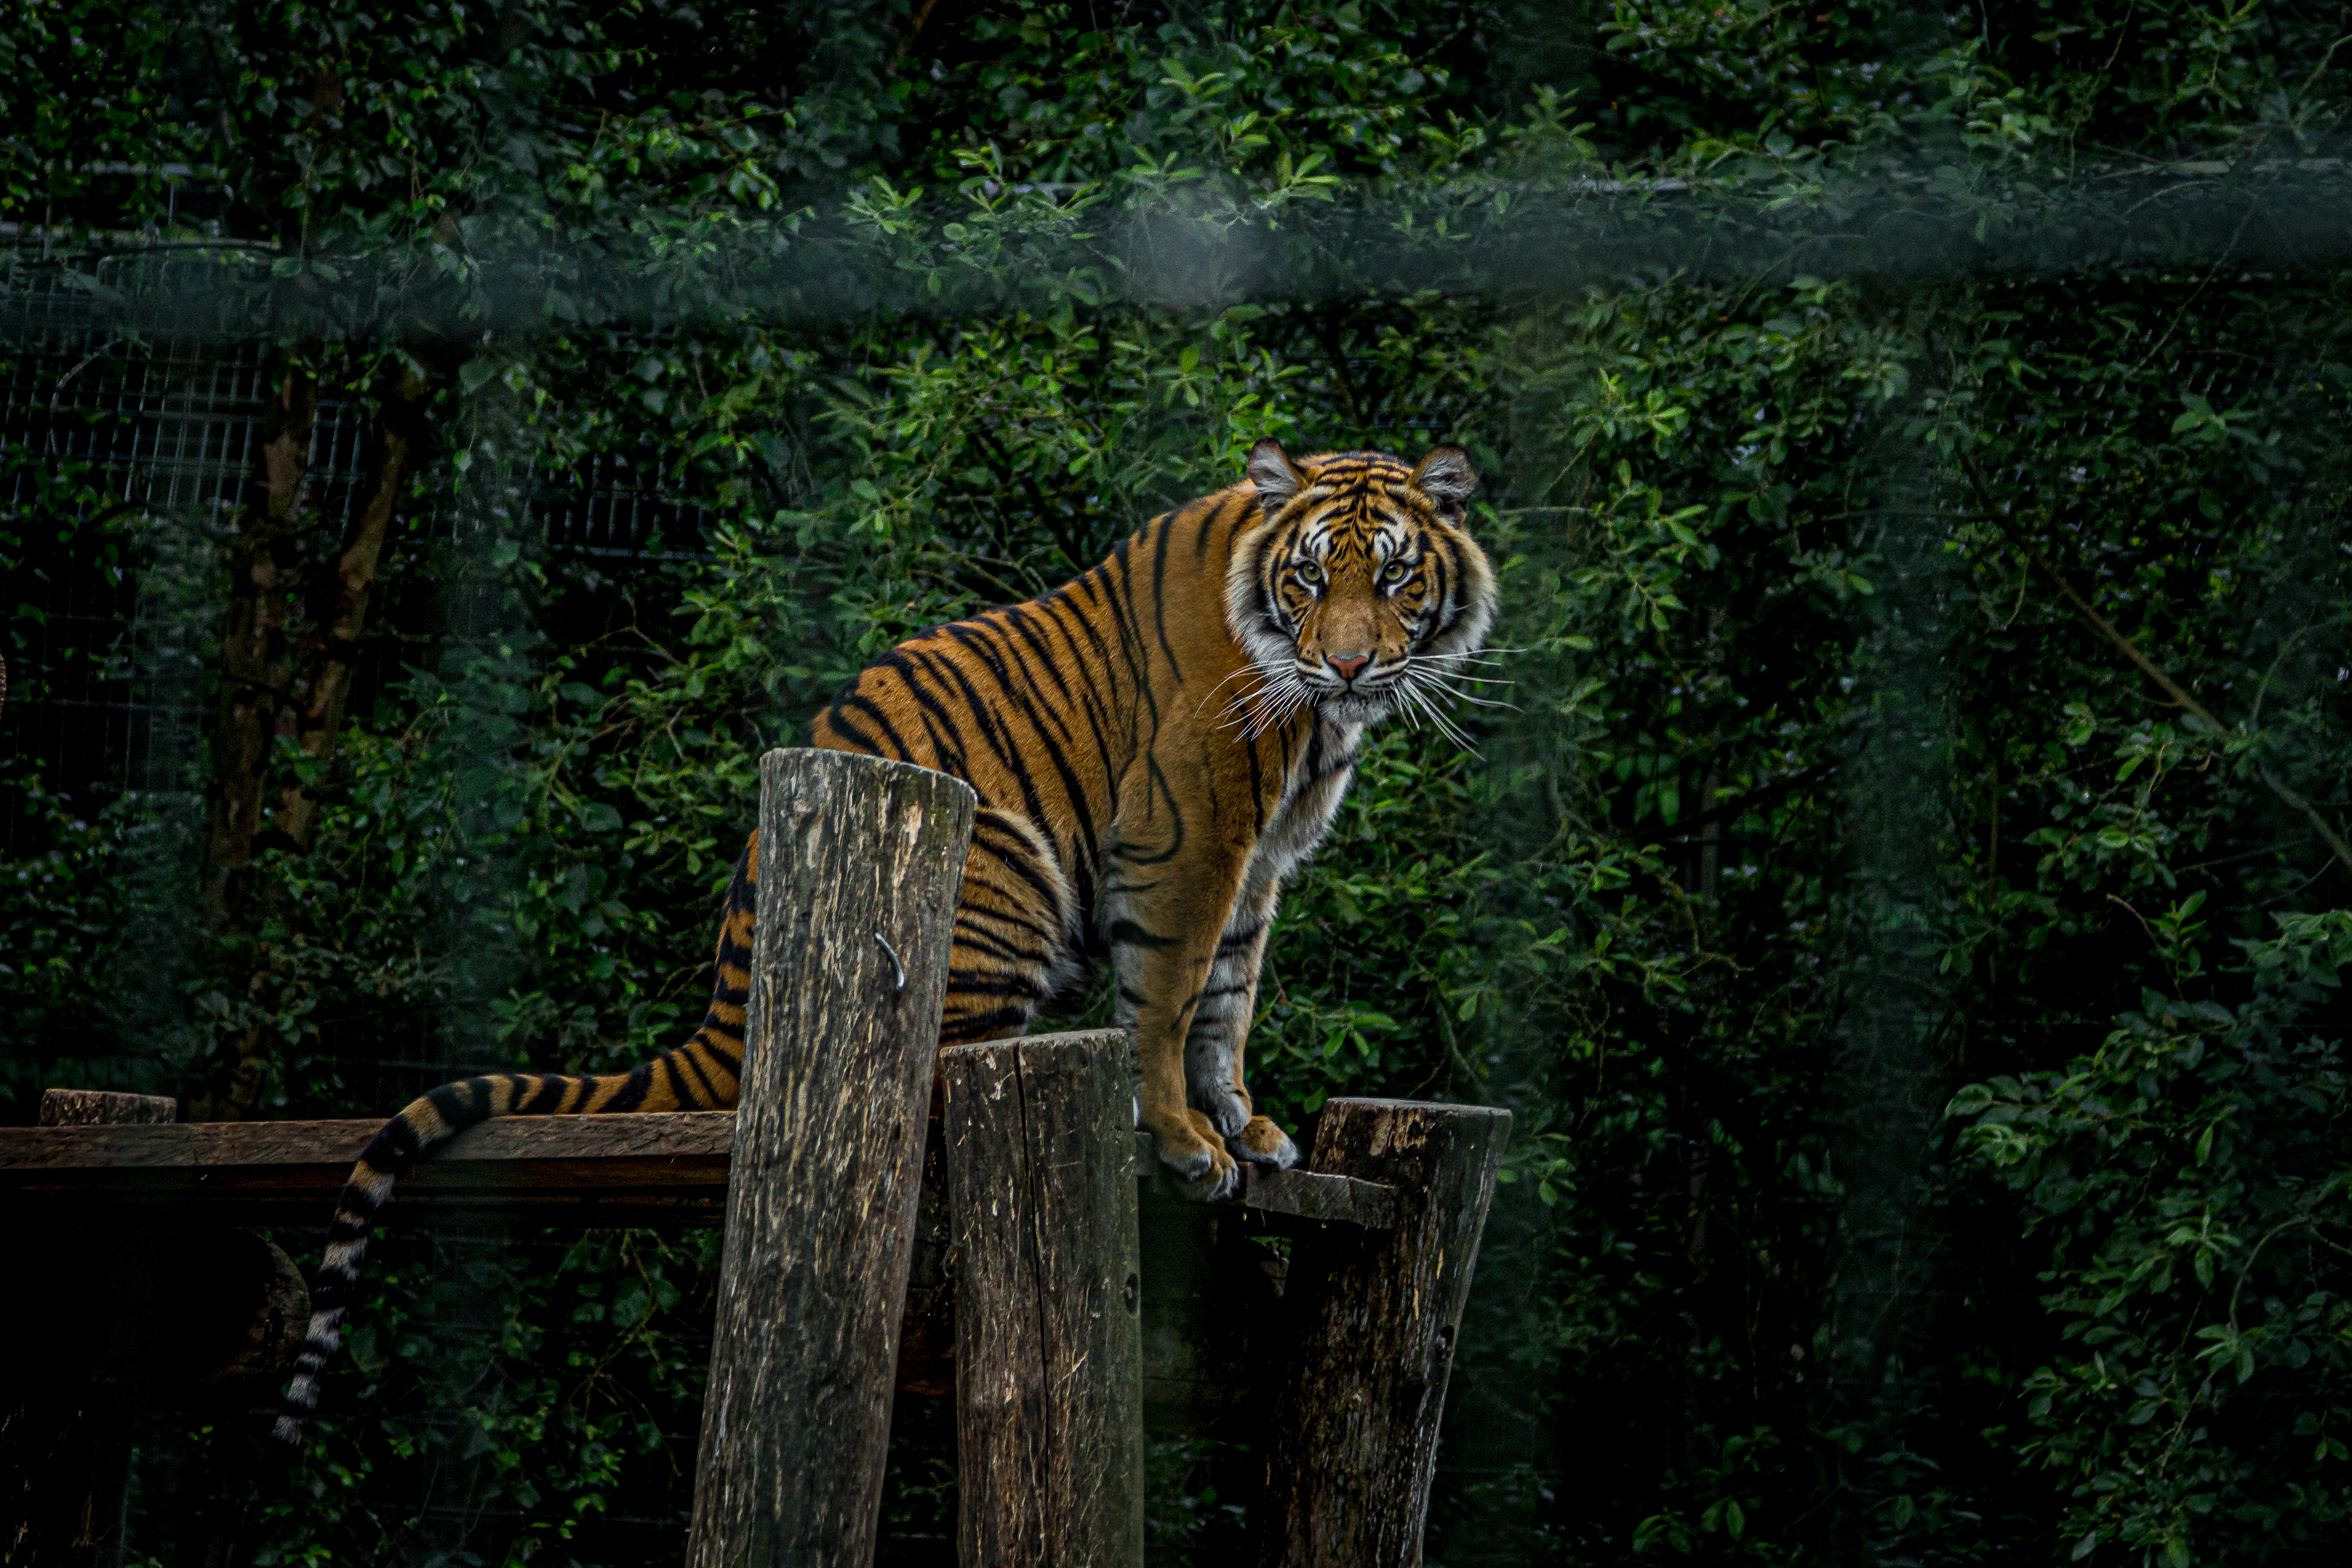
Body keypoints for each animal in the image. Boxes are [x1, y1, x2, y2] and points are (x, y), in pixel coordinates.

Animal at [273, 437, 1497, 1446]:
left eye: (1395, 577)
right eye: (1309, 579)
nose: (1348, 666)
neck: (1316, 721)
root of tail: (727, 1007)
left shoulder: (1260, 864)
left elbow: (1230, 1003)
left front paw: (1249, 1130)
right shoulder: (1189, 837)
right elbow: (1172, 995)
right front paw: (1188, 1144)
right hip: (1006, 866)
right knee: (946, 1079)